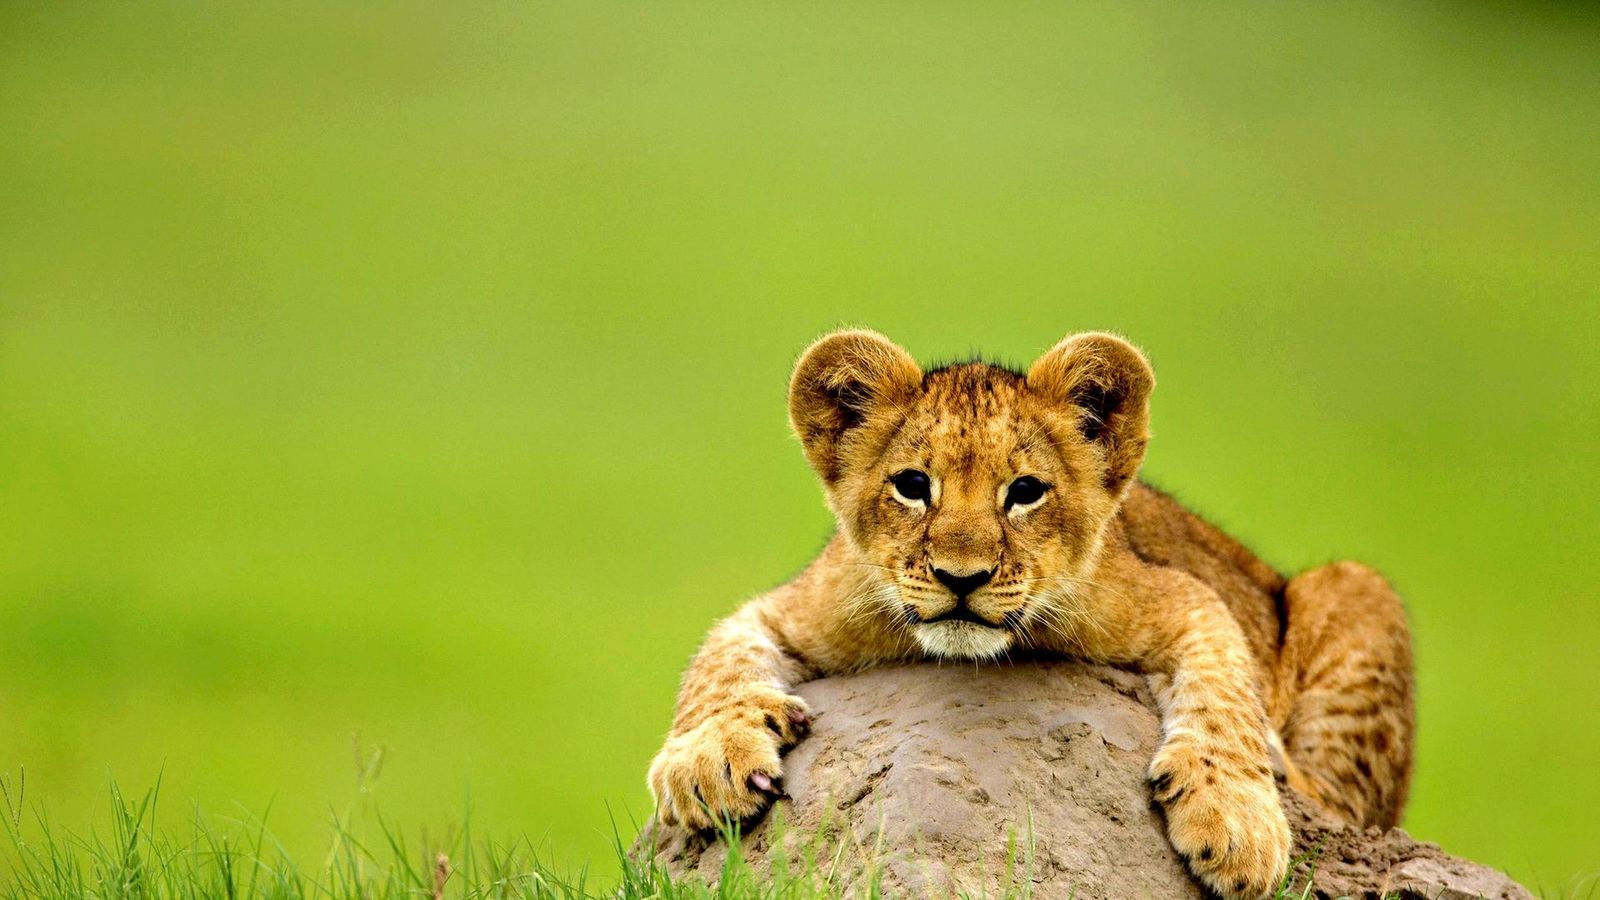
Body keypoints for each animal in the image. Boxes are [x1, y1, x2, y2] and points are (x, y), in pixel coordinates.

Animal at [647, 330, 1415, 899]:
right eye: (912, 486)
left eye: (1024, 492)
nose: (961, 577)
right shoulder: (798, 605)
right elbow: (718, 661)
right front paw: (708, 762)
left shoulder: (1183, 595)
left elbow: (1227, 694)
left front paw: (1236, 819)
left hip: (1356, 587)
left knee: (1340, 801)